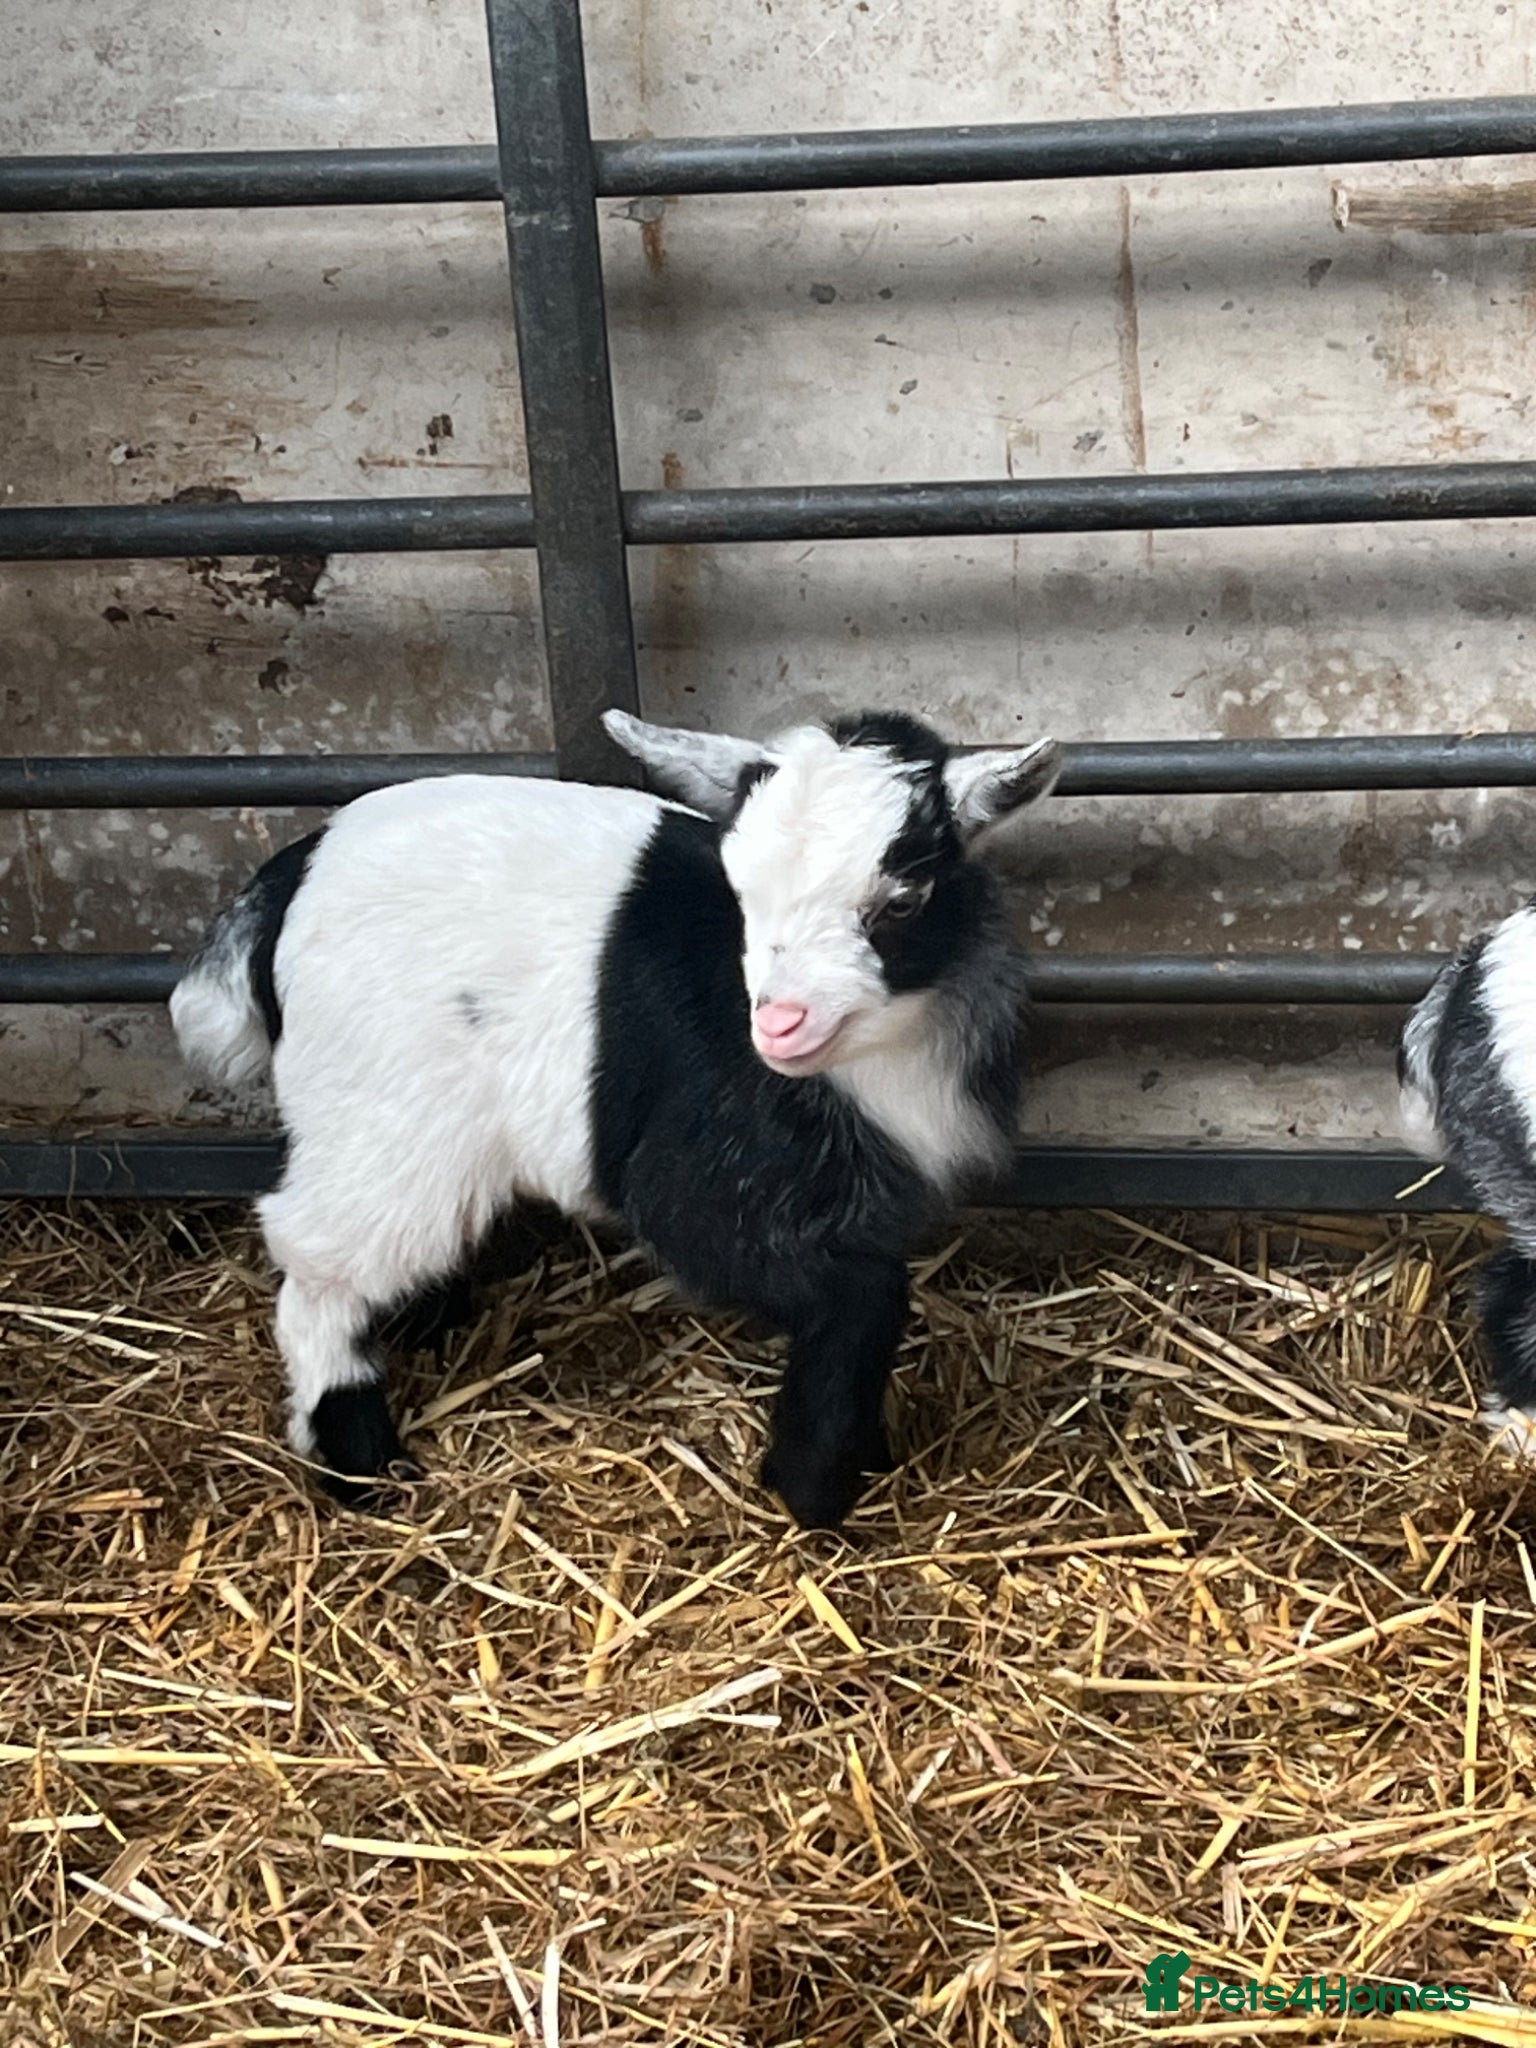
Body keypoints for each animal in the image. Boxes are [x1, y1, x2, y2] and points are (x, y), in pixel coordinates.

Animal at [171, 709, 1059, 1528]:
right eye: (741, 895)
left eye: (905, 898)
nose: (779, 1023)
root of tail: (289, 879)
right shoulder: (706, 1180)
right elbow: (864, 1295)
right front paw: (813, 1491)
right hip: (376, 1114)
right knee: (318, 1271)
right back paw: (362, 1460)